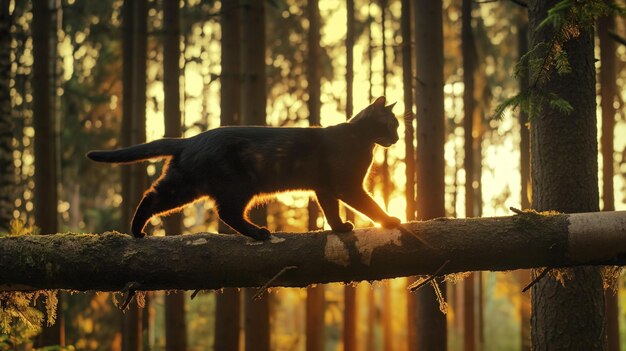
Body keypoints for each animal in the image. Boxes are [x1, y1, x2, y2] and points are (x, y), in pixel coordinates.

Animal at [88, 95, 400, 242]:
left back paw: (137, 231)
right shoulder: (348, 185)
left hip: (186, 185)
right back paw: (259, 232)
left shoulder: (323, 188)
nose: (397, 138)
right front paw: (389, 220)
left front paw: (340, 227)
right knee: (225, 212)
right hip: (235, 186)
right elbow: (369, 205)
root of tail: (191, 139)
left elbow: (331, 211)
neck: (359, 139)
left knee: (155, 196)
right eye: (393, 124)